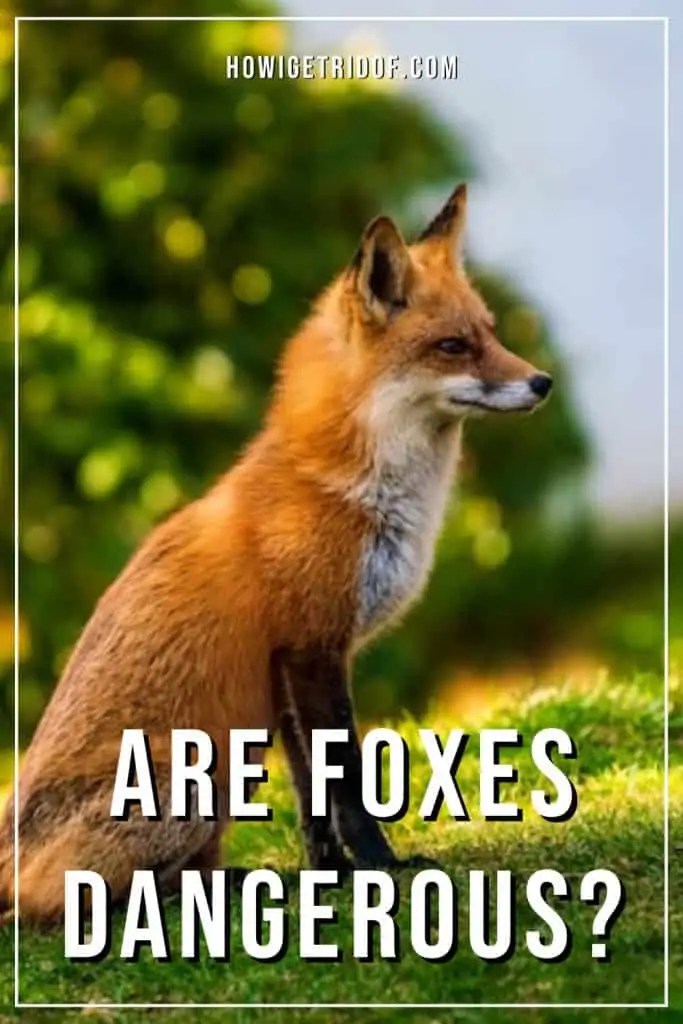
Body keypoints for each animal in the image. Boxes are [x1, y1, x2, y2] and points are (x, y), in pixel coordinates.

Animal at [0, 184, 552, 923]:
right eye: (452, 346)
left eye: (490, 333)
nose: (542, 382)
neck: (344, 491)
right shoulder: (312, 646)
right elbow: (345, 782)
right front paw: (382, 868)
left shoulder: (288, 664)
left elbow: (313, 798)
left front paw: (332, 876)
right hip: (189, 786)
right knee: (51, 907)